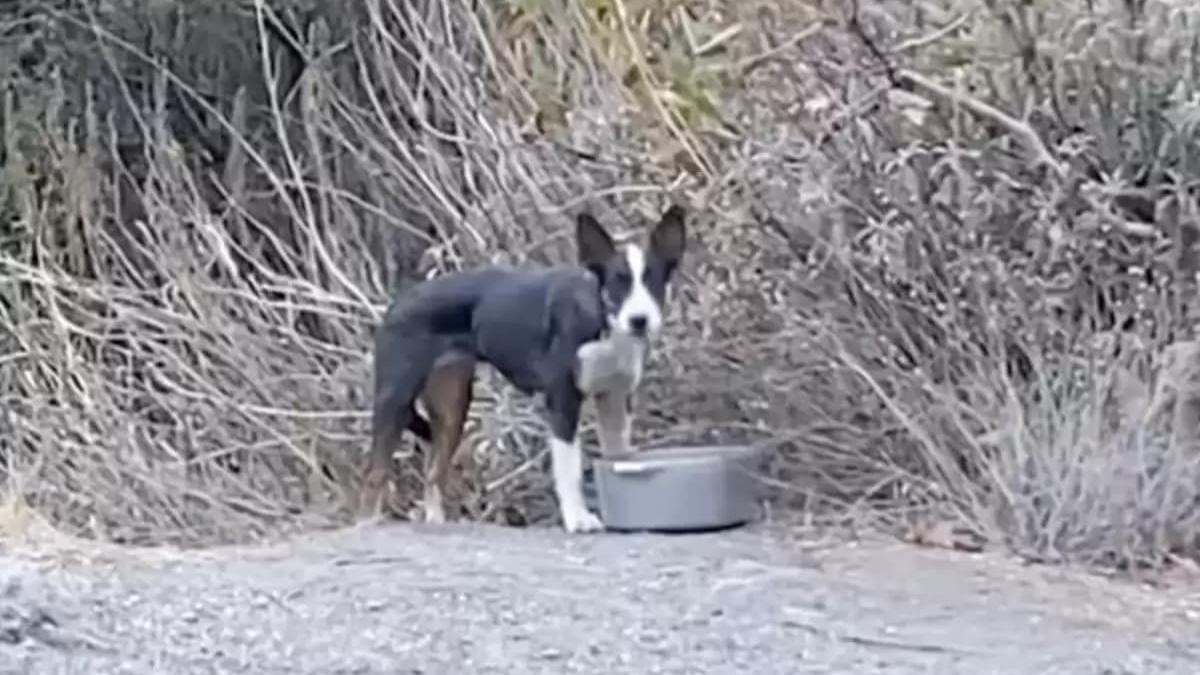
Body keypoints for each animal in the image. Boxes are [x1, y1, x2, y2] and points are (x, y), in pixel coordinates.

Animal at [362, 205, 686, 530]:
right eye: (618, 282)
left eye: (654, 282)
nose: (639, 320)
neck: (603, 325)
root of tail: (397, 303)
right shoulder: (562, 402)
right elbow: (569, 471)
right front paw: (578, 519)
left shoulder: (615, 399)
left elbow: (619, 455)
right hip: (394, 399)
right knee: (376, 475)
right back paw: (369, 523)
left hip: (452, 409)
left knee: (433, 474)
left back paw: (436, 523)